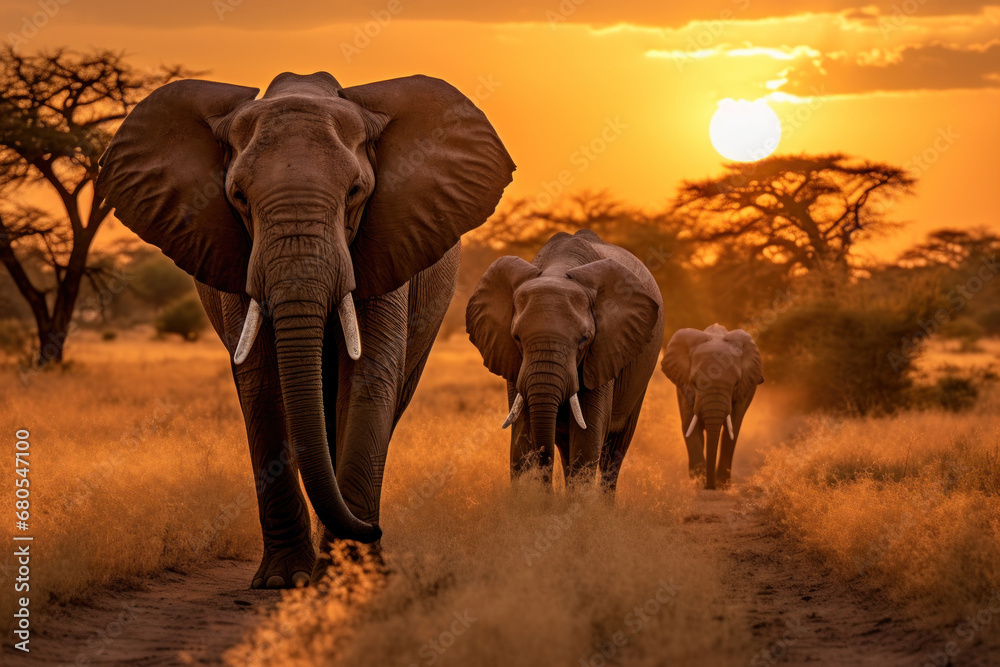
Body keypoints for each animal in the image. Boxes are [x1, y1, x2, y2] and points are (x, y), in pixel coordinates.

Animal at [96, 71, 514, 588]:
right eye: (238, 197)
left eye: (355, 191)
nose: (374, 529)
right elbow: (260, 384)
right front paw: (283, 580)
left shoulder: (385, 241)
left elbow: (369, 376)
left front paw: (345, 579)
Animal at [466, 230, 664, 490]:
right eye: (517, 338)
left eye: (583, 340)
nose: (547, 491)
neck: (559, 269)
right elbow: (521, 434)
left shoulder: (604, 351)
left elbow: (588, 435)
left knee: (613, 453)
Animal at [661, 324, 763, 489]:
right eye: (694, 382)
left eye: (736, 383)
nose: (710, 486)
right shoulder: (684, 386)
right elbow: (689, 425)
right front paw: (698, 483)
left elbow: (732, 429)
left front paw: (722, 485)